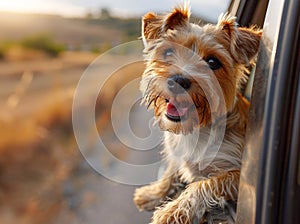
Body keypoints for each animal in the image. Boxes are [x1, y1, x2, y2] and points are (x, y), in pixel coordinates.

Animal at [133, 3, 260, 224]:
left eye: (213, 62)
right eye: (168, 52)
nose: (178, 81)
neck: (199, 128)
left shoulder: (241, 177)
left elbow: (206, 184)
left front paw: (172, 212)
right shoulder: (177, 153)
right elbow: (171, 171)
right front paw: (153, 193)